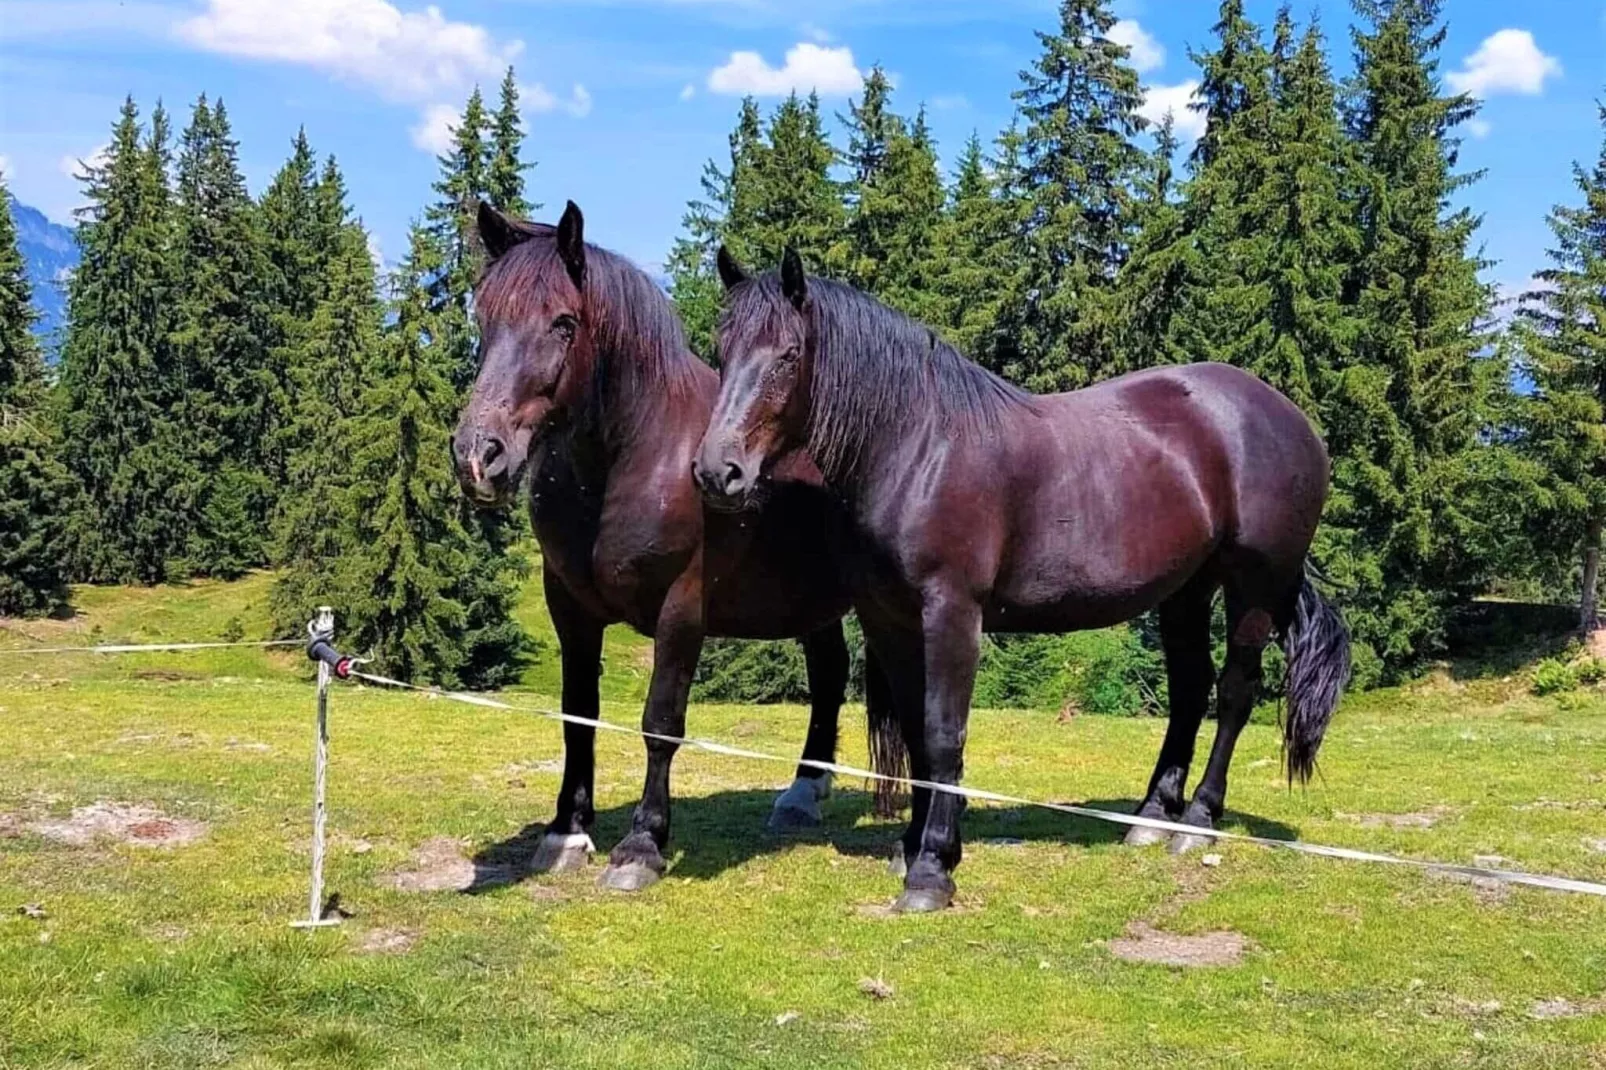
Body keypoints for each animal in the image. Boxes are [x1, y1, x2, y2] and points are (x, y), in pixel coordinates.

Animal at [452, 205, 905, 880]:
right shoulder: (569, 608)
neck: (633, 458)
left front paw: (642, 844)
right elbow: (577, 714)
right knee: (828, 672)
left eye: (564, 323)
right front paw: (566, 832)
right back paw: (802, 793)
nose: (479, 457)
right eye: (483, 317)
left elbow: (661, 721)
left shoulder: (681, 608)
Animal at [697, 250, 1349, 906]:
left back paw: (1196, 823)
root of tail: (1291, 420)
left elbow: (943, 733)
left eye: (788, 355)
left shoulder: (953, 612)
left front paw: (932, 870)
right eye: (722, 348)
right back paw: (1150, 818)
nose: (717, 471)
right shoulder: (888, 619)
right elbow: (915, 730)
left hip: (1254, 588)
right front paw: (912, 847)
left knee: (1235, 692)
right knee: (1190, 690)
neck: (918, 448)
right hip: (1186, 590)